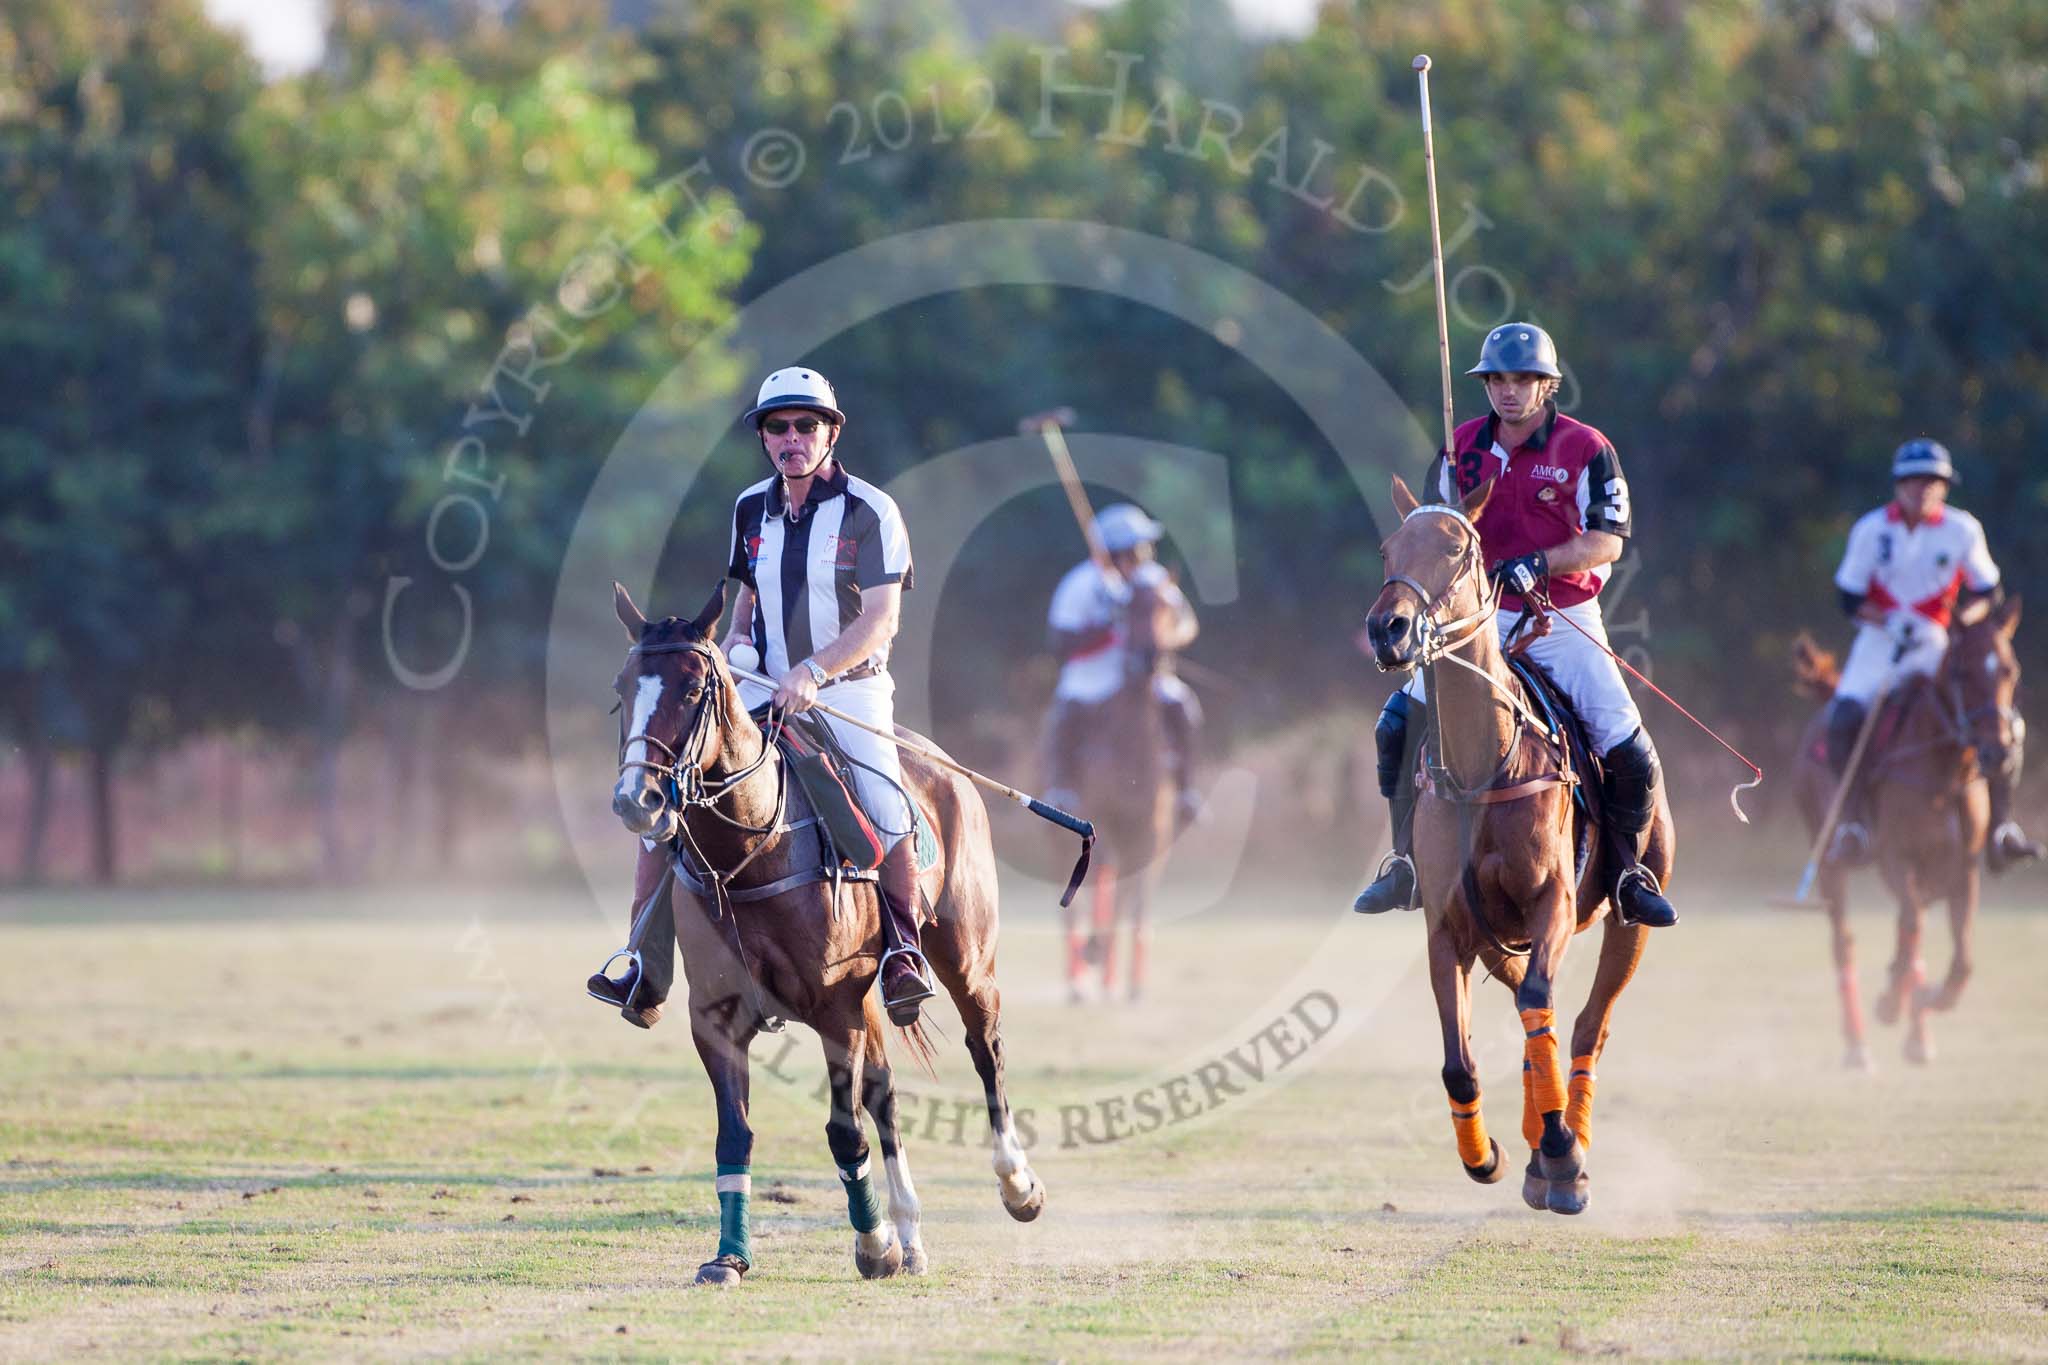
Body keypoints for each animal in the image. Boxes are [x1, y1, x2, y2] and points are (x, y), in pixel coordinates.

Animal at [593, 581, 1040, 1285]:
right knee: (885, 1091)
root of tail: (943, 763)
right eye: (622, 685)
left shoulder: (836, 1009)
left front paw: (873, 1246)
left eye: (693, 689)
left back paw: (1015, 1186)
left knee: (984, 1048)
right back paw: (911, 1232)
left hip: (965, 957)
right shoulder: (715, 1018)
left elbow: (843, 1130)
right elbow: (736, 1133)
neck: (750, 851)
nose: (636, 801)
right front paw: (729, 1257)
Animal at [1056, 564, 1187, 1002]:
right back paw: (1079, 979)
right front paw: (1095, 951)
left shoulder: (1152, 832)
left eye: (1168, 609)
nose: (1150, 657)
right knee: (1079, 896)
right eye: (1129, 609)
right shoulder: (1105, 821)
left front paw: (1130, 981)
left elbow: (1133, 897)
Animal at [1368, 478, 1671, 1219]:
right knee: (1539, 1016)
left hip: (1628, 921)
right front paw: (1487, 1156)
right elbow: (1460, 1061)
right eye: (1389, 547)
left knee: (1586, 1023)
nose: (1388, 630)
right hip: (1493, 937)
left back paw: (1565, 1154)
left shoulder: (1551, 903)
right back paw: (1540, 1156)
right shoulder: (1447, 929)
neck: (1484, 765)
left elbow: (1543, 1001)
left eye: (1456, 547)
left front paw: (1562, 1151)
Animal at [1794, 593, 2015, 1064]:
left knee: (1912, 929)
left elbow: (1961, 954)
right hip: (1831, 859)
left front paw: (1927, 998)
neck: (1945, 771)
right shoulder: (1897, 856)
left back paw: (1917, 1033)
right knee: (1846, 940)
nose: (1998, 752)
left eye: (2009, 670)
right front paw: (1893, 1001)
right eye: (1963, 672)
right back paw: (1858, 1046)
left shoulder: (1963, 868)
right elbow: (1912, 925)